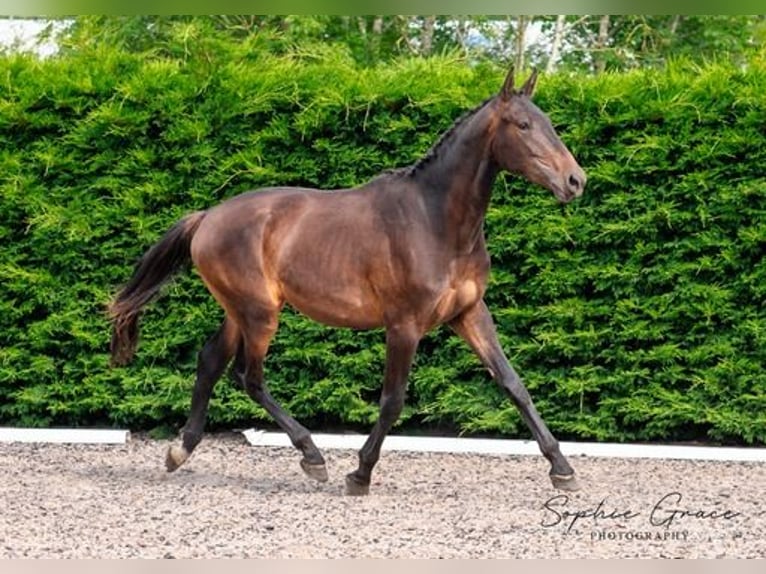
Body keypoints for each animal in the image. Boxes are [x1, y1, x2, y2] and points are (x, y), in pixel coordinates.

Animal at [109, 67, 588, 498]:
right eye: (523, 125)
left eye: (548, 121)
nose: (575, 181)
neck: (434, 220)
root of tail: (207, 216)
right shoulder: (404, 325)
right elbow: (393, 400)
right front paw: (359, 475)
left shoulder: (469, 313)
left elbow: (513, 385)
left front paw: (562, 470)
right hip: (260, 313)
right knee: (249, 376)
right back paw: (312, 457)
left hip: (240, 311)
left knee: (210, 361)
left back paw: (181, 451)